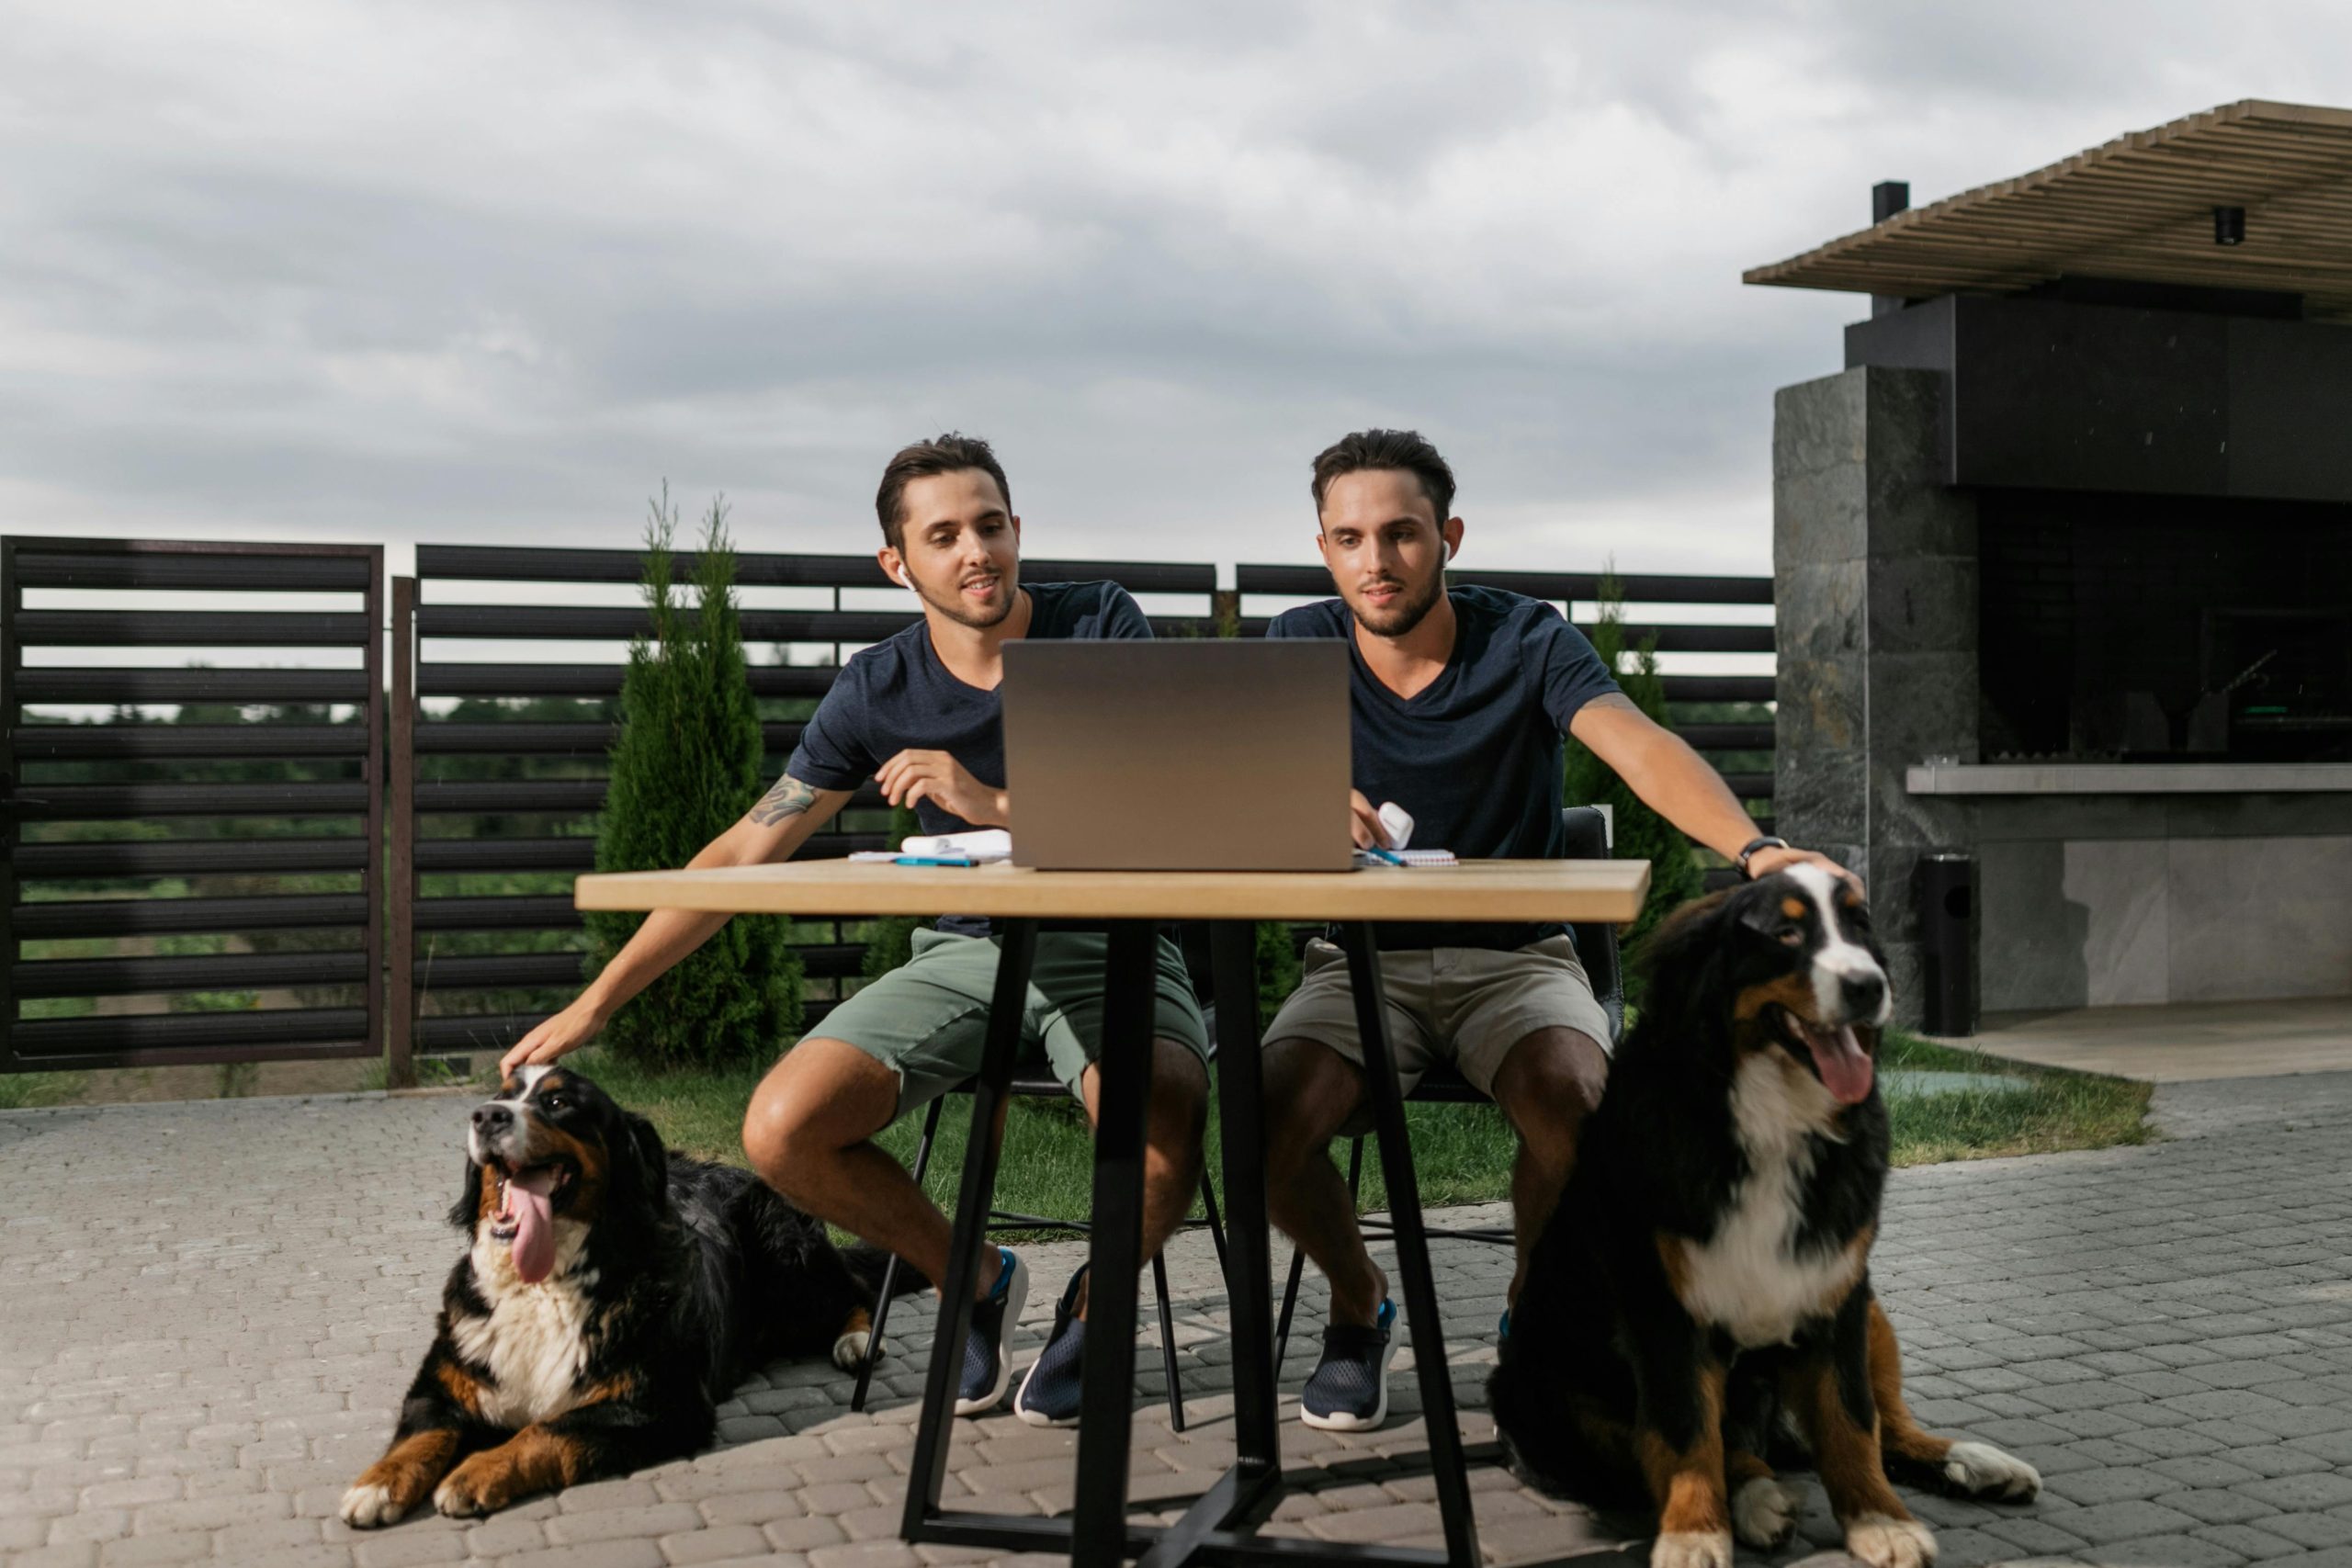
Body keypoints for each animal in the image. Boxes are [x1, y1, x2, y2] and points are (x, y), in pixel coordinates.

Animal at [343, 1072, 912, 1523]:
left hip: (791, 1267)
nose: (485, 1116)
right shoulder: (442, 1385)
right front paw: (377, 1484)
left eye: (558, 1101)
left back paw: (857, 1342)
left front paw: (476, 1471)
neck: (544, 1286)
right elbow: (421, 1435)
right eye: (501, 1095)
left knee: (856, 1289)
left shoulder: (662, 1405)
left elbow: (550, 1428)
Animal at [1505, 864, 2041, 1568]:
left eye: (1859, 926)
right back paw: (1758, 1497)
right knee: (1712, 1445)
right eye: (1786, 934)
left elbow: (1851, 1421)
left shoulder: (1836, 1291)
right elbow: (1685, 1435)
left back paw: (1972, 1461)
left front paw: (1880, 1520)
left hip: (1872, 1312)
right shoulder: (1665, 1306)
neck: (1774, 1121)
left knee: (1886, 1427)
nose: (1869, 985)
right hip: (1545, 1390)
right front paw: (1693, 1532)